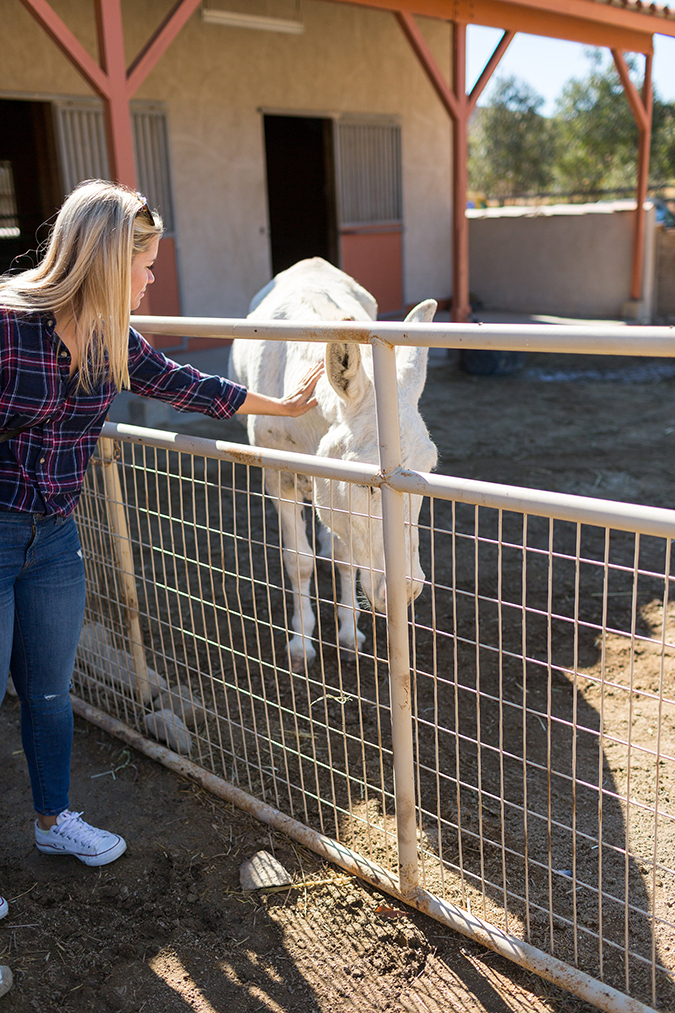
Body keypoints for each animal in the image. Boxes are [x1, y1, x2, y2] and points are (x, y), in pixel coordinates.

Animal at [227, 259, 435, 672]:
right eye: (363, 482)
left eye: (430, 471)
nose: (405, 591)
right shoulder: (279, 478)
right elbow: (298, 562)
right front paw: (300, 645)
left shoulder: (339, 506)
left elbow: (346, 560)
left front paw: (349, 635)